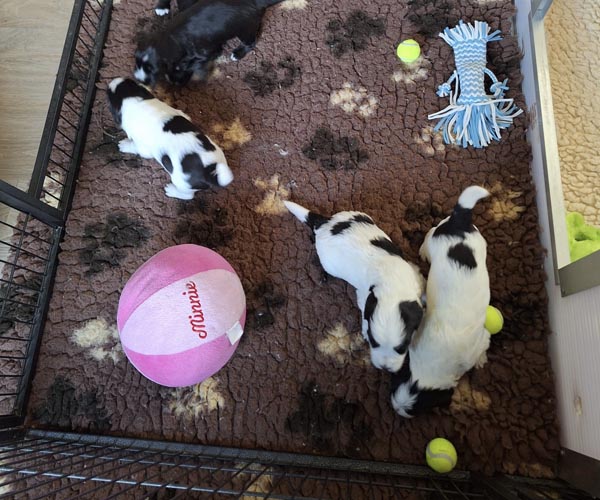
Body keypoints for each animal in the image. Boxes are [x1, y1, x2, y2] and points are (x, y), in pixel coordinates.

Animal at [135, 0, 285, 86]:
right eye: (136, 63)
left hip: (245, 30)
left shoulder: (205, 51)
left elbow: (196, 63)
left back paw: (238, 53)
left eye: (154, 70)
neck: (172, 36)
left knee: (251, 42)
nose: (140, 80)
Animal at [284, 201, 425, 373]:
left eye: (402, 348)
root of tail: (325, 223)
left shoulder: (414, 278)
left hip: (358, 215)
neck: (392, 283)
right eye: (373, 342)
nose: (385, 368)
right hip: (328, 261)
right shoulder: (365, 297)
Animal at [390, 186, 491, 418]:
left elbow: (484, 343)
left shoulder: (477, 345)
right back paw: (422, 252)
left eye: (416, 410)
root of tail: (460, 222)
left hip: (475, 239)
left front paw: (482, 360)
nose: (397, 410)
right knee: (430, 234)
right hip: (440, 239)